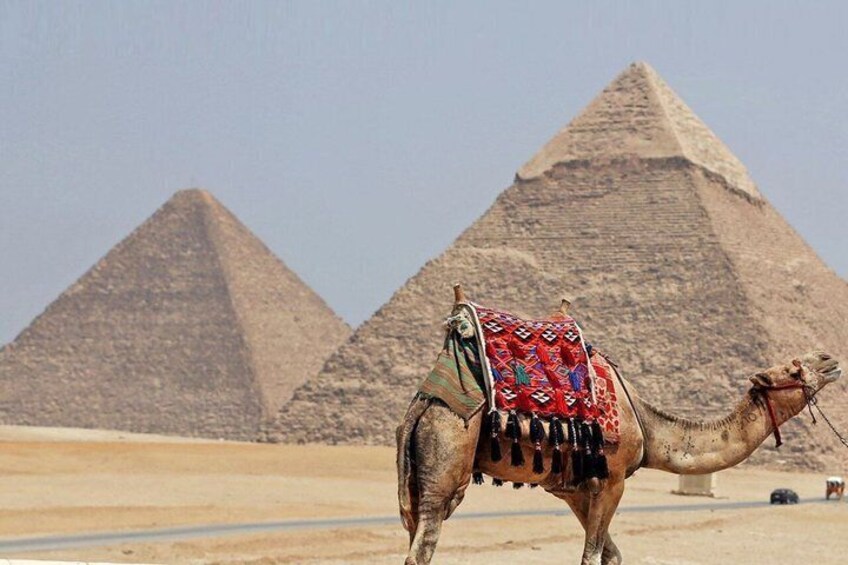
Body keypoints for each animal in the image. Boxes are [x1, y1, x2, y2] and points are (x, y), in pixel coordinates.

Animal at [396, 306, 842, 565]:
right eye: (793, 369)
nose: (830, 359)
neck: (646, 425)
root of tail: (422, 403)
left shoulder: (574, 489)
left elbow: (611, 555)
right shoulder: (611, 480)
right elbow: (592, 557)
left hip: (418, 474)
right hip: (448, 452)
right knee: (424, 545)